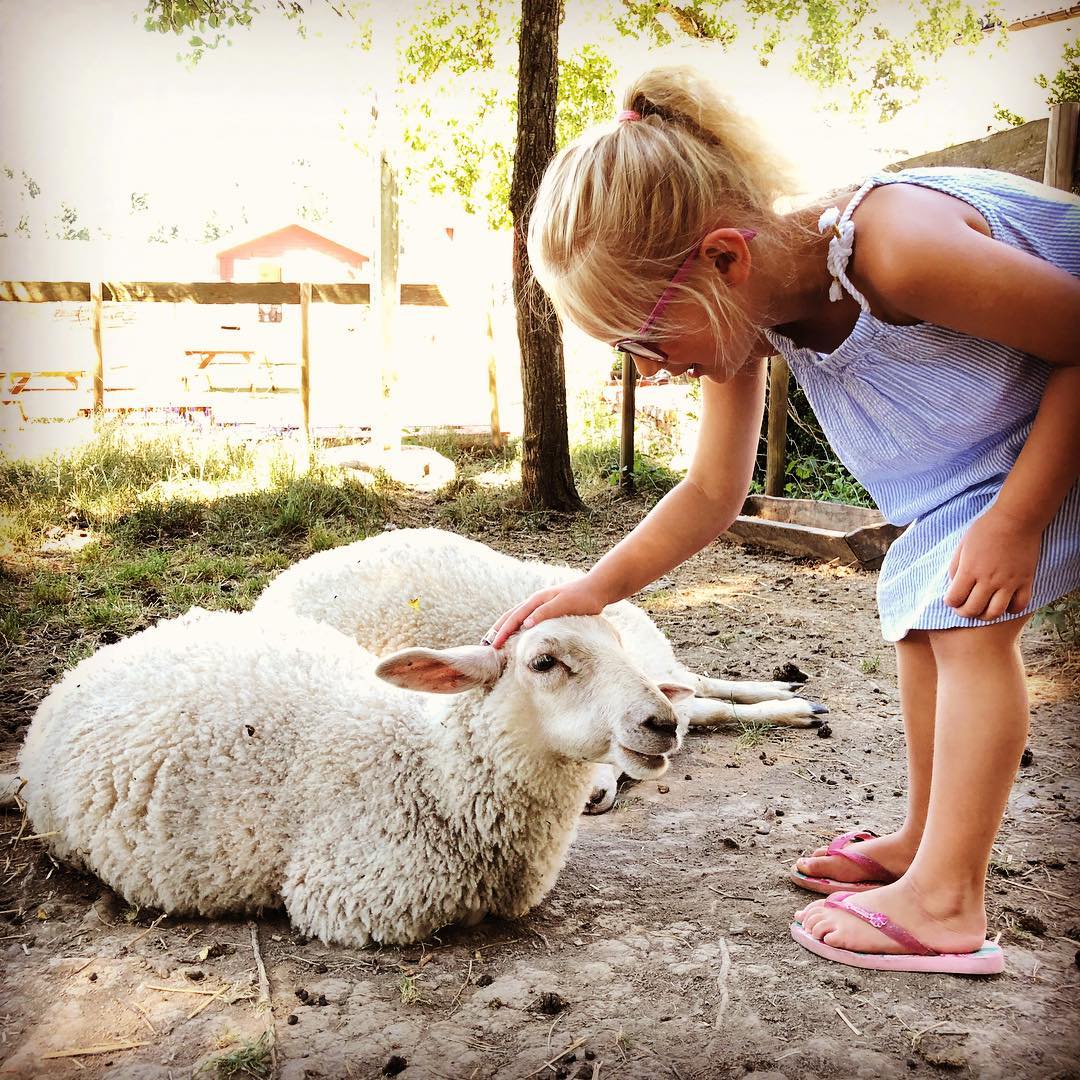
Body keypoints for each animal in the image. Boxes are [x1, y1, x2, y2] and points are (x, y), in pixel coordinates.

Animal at [253, 528, 826, 809]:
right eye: (546, 664)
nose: (590, 799)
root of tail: (275, 588)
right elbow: (705, 705)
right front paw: (788, 705)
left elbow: (707, 697)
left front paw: (788, 698)